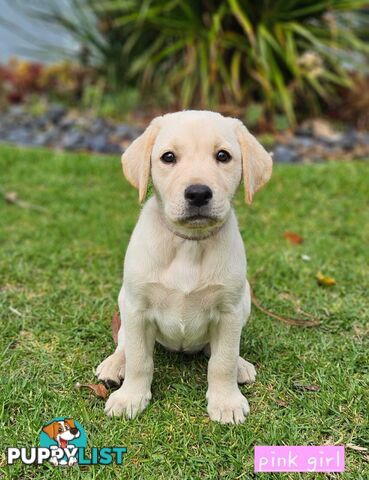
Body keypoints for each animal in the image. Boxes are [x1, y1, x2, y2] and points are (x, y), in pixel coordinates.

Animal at [96, 109, 272, 424]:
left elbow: (223, 361)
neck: (189, 244)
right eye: (168, 157)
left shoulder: (229, 311)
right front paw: (131, 397)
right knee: (125, 342)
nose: (199, 193)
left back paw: (241, 365)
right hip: (124, 300)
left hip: (245, 300)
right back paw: (115, 364)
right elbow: (140, 359)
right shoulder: (137, 307)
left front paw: (226, 401)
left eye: (223, 156)